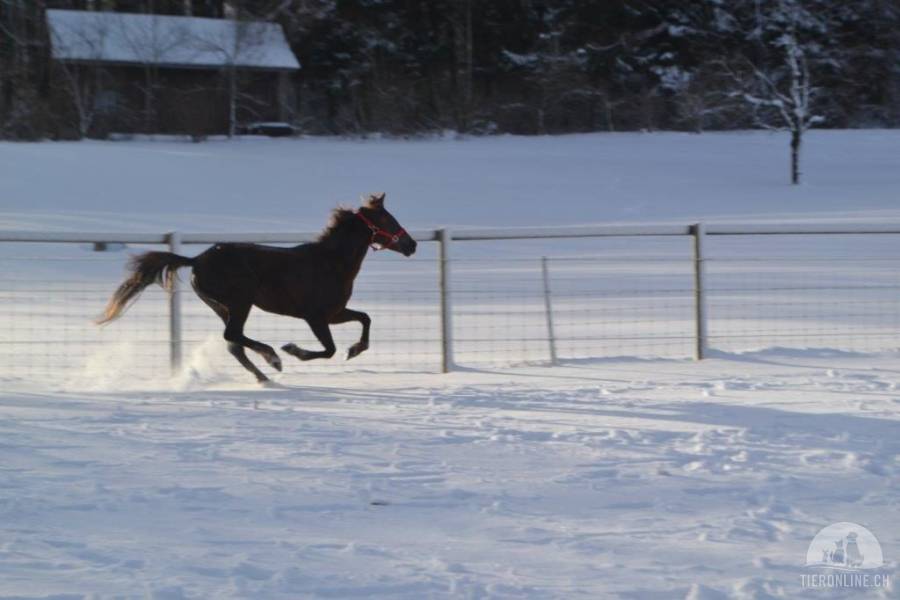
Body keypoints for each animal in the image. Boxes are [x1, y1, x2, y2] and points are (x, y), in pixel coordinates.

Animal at [97, 193, 417, 384]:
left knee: (234, 343)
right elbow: (329, 349)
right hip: (240, 302)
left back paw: (264, 376)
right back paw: (272, 358)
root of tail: (197, 259)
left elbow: (365, 318)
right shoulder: (315, 316)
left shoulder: (334, 313)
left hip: (223, 307)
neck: (330, 262)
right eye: (387, 219)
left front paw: (355, 349)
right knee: (233, 336)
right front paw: (291, 350)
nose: (411, 245)